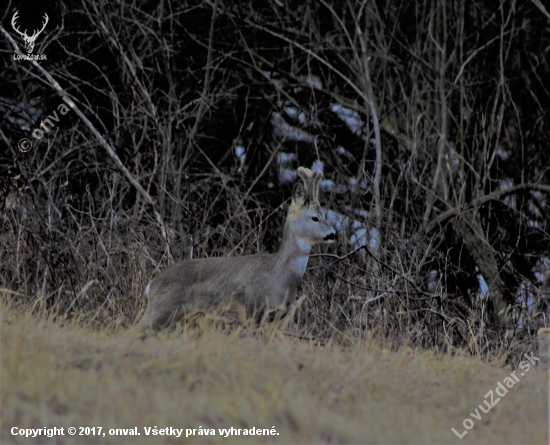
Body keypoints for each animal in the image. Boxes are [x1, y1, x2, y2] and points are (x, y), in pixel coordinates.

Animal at [138, 166, 336, 330]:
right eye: (315, 218)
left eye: (325, 215)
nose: (333, 234)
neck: (280, 274)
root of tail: (150, 286)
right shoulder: (253, 311)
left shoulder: (276, 317)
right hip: (162, 310)